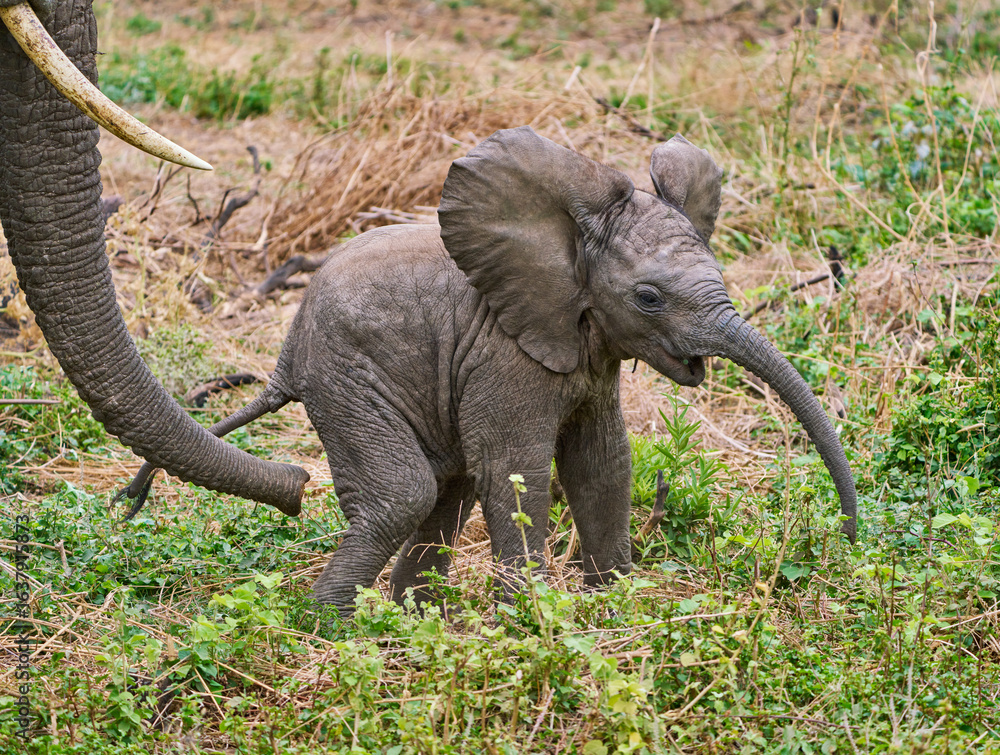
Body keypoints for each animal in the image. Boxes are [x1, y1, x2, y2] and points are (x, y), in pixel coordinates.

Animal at [119, 127, 858, 613]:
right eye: (649, 297)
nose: (850, 541)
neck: (569, 240)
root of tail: (286, 356)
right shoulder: (509, 353)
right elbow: (517, 463)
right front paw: (532, 619)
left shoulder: (588, 352)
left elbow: (603, 460)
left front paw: (615, 604)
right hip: (348, 380)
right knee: (405, 493)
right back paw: (334, 630)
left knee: (444, 492)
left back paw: (417, 623)